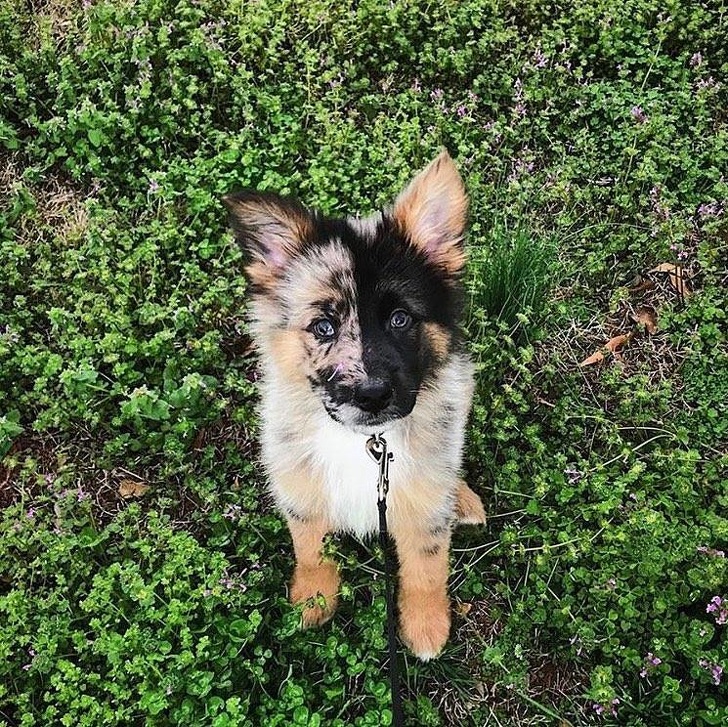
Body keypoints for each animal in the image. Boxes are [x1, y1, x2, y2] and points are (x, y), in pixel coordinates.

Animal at [222, 152, 484, 660]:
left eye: (400, 319)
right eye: (323, 327)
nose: (372, 396)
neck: (364, 441)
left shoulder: (419, 507)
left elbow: (427, 563)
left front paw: (426, 626)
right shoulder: (301, 485)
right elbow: (309, 546)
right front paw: (313, 600)